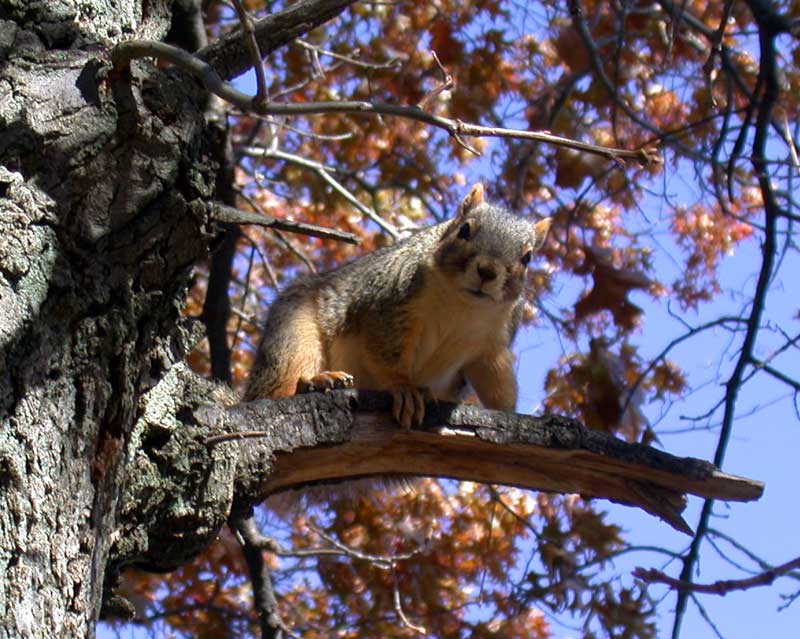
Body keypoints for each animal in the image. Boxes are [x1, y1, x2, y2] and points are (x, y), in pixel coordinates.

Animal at [247, 184, 552, 430]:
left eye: (527, 257)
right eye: (464, 230)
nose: (487, 270)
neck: (463, 306)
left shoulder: (491, 347)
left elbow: (498, 385)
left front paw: (511, 416)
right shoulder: (389, 306)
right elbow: (385, 353)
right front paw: (403, 388)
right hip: (295, 331)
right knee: (273, 388)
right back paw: (313, 382)